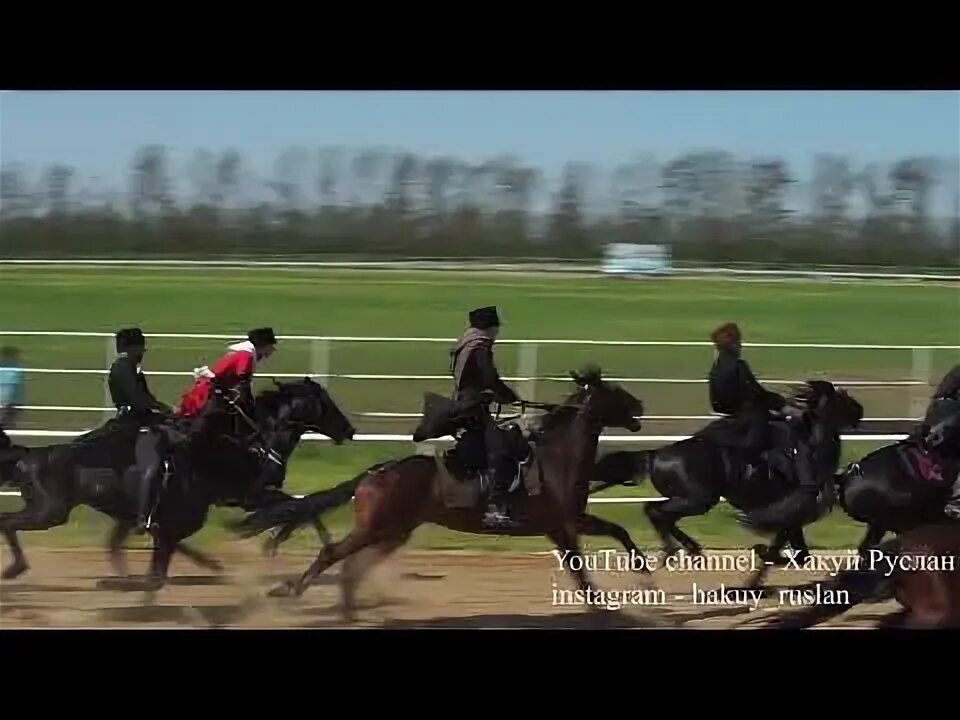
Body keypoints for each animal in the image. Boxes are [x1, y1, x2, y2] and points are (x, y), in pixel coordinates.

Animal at [0, 380, 354, 588]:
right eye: (325, 401)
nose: (348, 430)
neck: (251, 441)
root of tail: (32, 456)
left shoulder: (249, 496)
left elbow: (303, 507)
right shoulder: (250, 494)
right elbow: (298, 507)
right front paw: (273, 543)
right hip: (50, 511)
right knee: (8, 522)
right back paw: (15, 568)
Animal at [236, 368, 648, 616]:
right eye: (614, 391)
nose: (641, 406)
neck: (556, 458)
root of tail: (376, 473)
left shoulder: (570, 522)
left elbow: (615, 534)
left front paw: (640, 573)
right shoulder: (563, 525)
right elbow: (582, 569)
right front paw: (607, 603)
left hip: (393, 532)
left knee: (352, 566)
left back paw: (348, 606)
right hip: (377, 528)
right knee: (332, 554)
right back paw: (293, 592)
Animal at [592, 380, 864, 588]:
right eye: (842, 397)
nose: (860, 410)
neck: (808, 450)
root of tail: (654, 454)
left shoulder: (790, 521)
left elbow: (799, 556)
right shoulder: (788, 516)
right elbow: (781, 554)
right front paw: (756, 567)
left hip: (692, 499)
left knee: (657, 512)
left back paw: (690, 549)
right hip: (698, 500)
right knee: (656, 512)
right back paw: (676, 550)